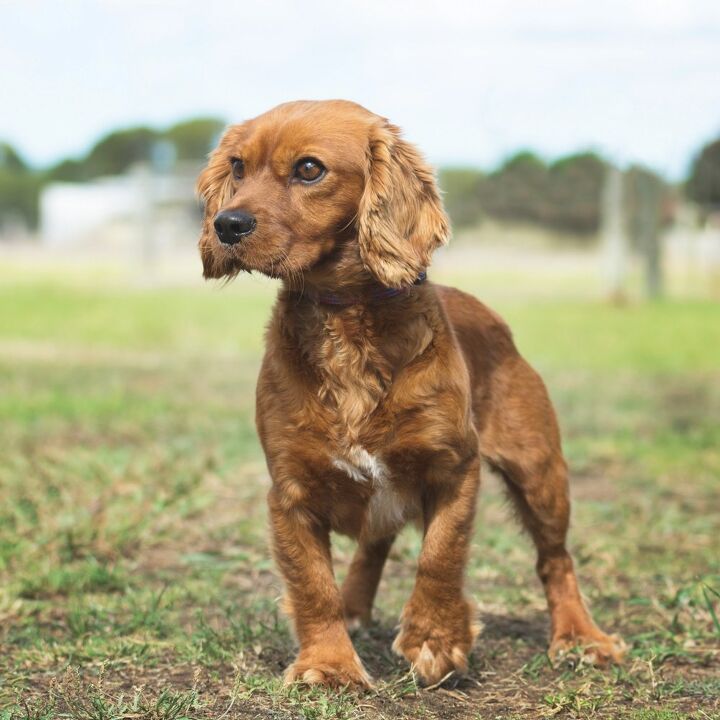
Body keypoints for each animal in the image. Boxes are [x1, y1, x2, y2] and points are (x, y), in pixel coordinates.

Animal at [197, 101, 624, 688]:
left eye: (309, 169)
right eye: (238, 166)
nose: (226, 224)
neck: (346, 323)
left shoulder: (454, 468)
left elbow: (440, 557)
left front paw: (435, 640)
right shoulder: (290, 492)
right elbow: (313, 586)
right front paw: (330, 663)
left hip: (540, 474)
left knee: (555, 559)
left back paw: (581, 637)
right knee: (373, 546)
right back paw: (356, 608)